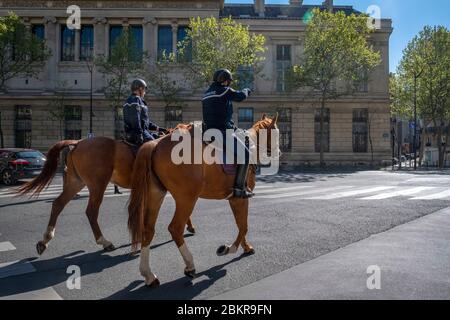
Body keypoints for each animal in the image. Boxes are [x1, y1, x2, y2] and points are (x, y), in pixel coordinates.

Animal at [16, 135, 197, 255]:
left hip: (76, 182)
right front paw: (188, 226)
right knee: (91, 211)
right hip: (98, 185)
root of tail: (78, 142)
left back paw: (45, 240)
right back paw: (104, 242)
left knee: (58, 204)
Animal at [126, 115, 280, 288]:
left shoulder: (234, 199)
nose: (279, 152)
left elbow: (241, 225)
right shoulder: (240, 199)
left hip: (156, 195)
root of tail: (156, 143)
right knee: (175, 228)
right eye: (277, 134)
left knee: (148, 230)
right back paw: (190, 266)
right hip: (186, 199)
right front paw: (228, 248)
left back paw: (149, 275)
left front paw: (245, 247)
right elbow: (244, 226)